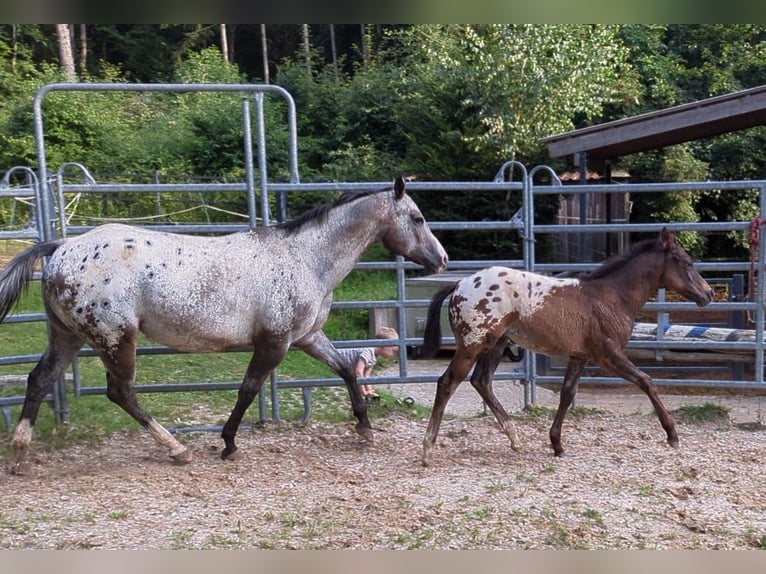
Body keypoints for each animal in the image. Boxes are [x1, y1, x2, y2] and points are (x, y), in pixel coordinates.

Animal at [0, 178, 450, 474]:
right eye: (417, 218)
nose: (442, 259)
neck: (305, 259)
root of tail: (61, 247)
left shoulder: (307, 337)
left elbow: (345, 370)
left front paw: (364, 429)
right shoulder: (274, 343)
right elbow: (248, 390)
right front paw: (229, 443)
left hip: (69, 336)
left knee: (40, 380)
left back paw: (20, 455)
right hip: (114, 338)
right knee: (120, 392)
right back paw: (177, 449)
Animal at [420, 230, 712, 468]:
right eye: (687, 263)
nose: (708, 294)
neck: (611, 296)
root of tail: (460, 284)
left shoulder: (579, 356)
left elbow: (567, 393)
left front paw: (557, 444)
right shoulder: (608, 355)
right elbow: (646, 381)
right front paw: (672, 434)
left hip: (496, 345)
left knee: (481, 381)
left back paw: (515, 438)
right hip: (473, 345)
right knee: (447, 383)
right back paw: (428, 449)